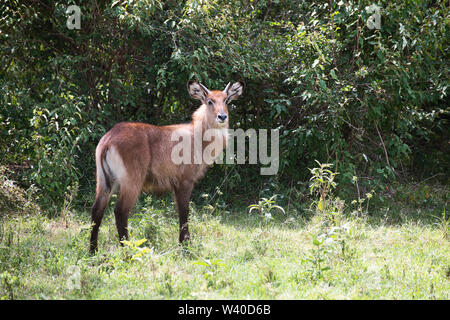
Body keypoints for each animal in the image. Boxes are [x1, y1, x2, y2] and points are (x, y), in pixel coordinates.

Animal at [88, 79, 243, 252]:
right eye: (210, 101)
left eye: (226, 100)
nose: (222, 116)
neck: (198, 137)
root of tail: (109, 138)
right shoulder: (185, 181)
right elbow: (184, 211)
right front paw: (185, 245)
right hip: (131, 182)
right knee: (120, 212)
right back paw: (128, 250)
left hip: (104, 181)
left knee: (96, 210)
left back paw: (93, 251)